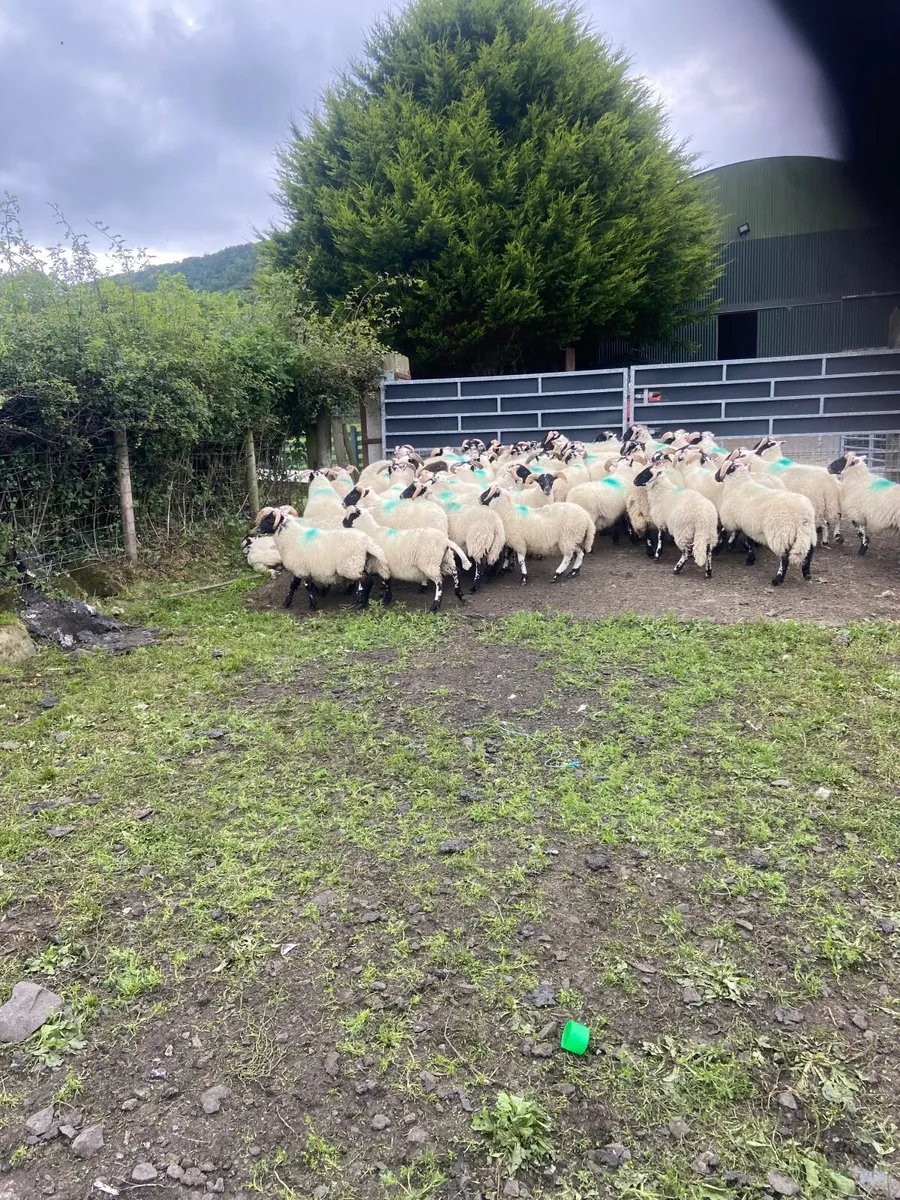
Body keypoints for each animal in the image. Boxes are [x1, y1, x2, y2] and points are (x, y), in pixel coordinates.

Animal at [254, 507, 389, 612]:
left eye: (269, 519)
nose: (257, 529)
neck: (291, 537)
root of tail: (366, 541)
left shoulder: (301, 569)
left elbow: (305, 586)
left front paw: (312, 605)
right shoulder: (300, 568)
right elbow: (294, 585)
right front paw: (288, 602)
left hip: (350, 565)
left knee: (367, 580)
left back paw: (362, 603)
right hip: (358, 564)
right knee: (366, 581)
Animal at [343, 507, 471, 612]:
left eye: (350, 516)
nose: (343, 523)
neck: (372, 531)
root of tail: (444, 540)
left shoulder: (381, 565)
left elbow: (386, 581)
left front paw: (386, 599)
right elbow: (386, 581)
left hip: (429, 562)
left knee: (439, 581)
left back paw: (435, 606)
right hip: (444, 559)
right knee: (455, 571)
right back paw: (460, 595)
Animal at [715, 452, 816, 585]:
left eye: (724, 466)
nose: (715, 477)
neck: (739, 485)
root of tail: (803, 513)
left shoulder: (731, 519)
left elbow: (725, 532)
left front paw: (722, 547)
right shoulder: (749, 524)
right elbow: (749, 541)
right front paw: (749, 557)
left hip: (779, 534)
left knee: (784, 557)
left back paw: (778, 579)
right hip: (808, 531)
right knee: (810, 551)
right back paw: (807, 573)